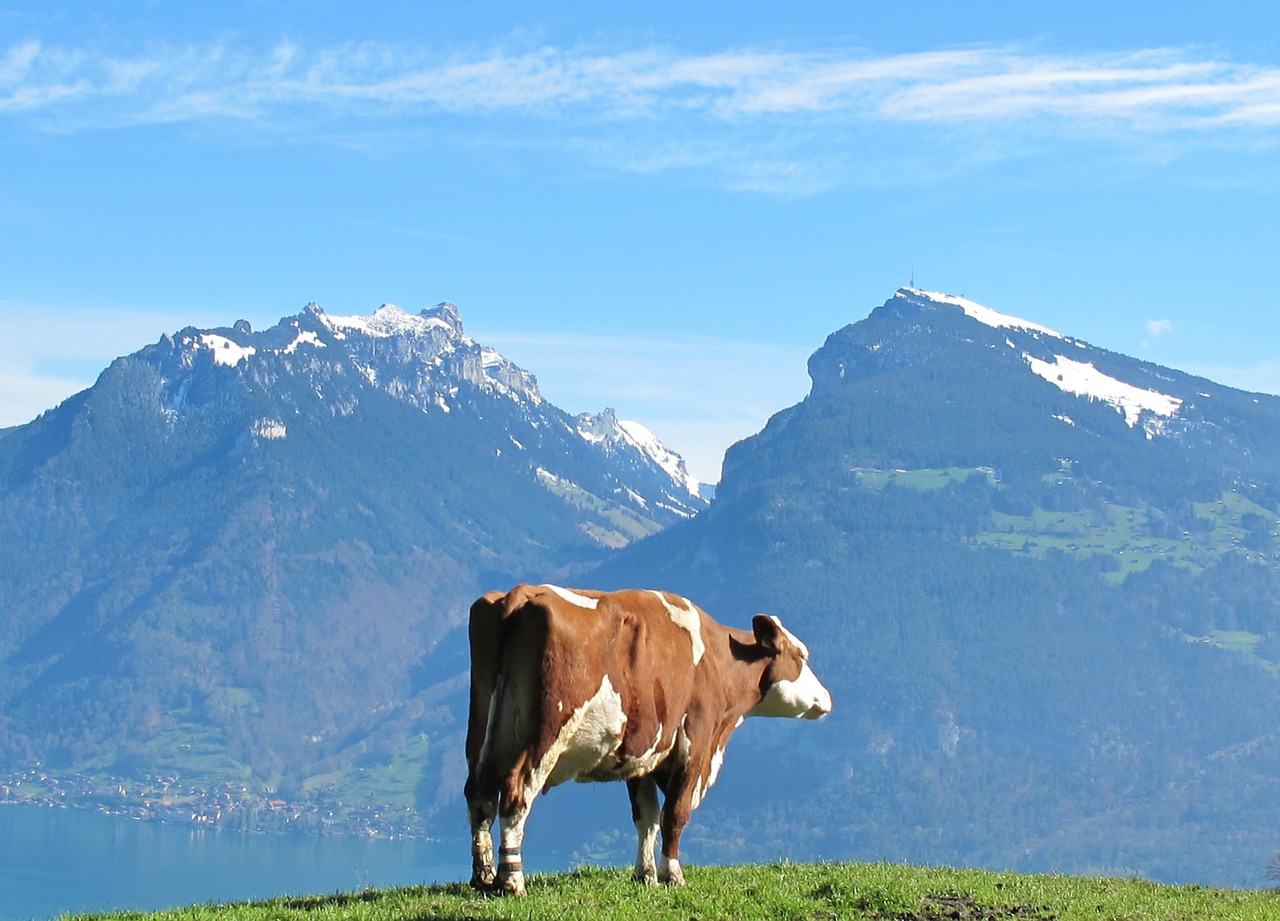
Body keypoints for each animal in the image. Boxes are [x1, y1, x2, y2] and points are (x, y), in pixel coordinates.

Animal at [460, 585, 829, 895]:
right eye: (801, 656)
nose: (826, 698)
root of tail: (518, 595)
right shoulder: (693, 743)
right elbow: (674, 814)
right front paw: (672, 874)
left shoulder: (644, 756)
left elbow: (646, 817)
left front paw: (646, 875)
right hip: (543, 737)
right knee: (515, 795)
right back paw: (512, 880)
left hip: (481, 734)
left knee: (479, 795)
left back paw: (484, 876)